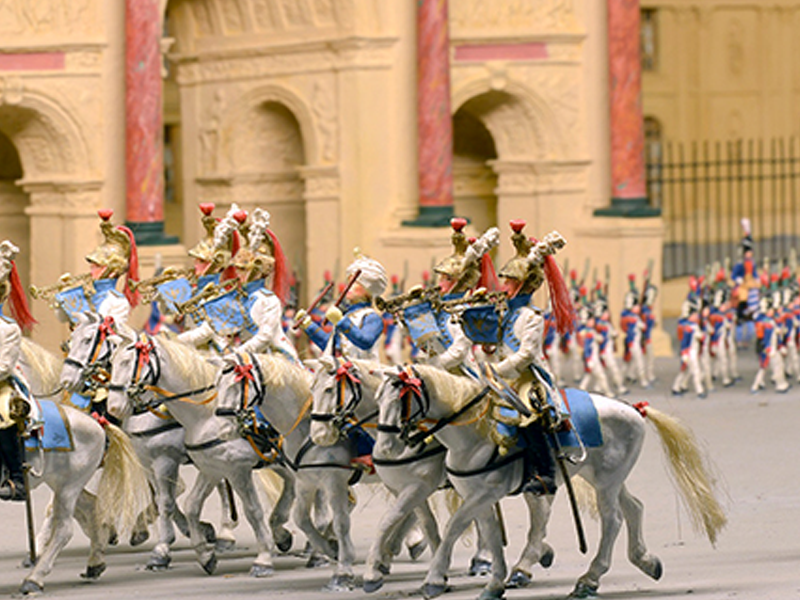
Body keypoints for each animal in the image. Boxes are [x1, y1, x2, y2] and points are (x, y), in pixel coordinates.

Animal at [59, 313, 237, 569]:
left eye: (87, 340)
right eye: (70, 340)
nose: (66, 381)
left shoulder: (166, 459)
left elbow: (167, 501)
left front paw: (163, 547)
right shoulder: (147, 460)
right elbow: (163, 498)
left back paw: (227, 533)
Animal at [376, 365, 727, 599]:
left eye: (401, 401)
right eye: (378, 399)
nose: (388, 447)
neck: (473, 435)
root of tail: (634, 410)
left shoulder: (483, 495)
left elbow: (453, 528)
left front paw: (434, 580)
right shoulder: (479, 497)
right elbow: (489, 535)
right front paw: (495, 584)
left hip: (607, 483)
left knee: (612, 520)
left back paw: (588, 580)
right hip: (604, 478)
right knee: (634, 508)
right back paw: (646, 561)